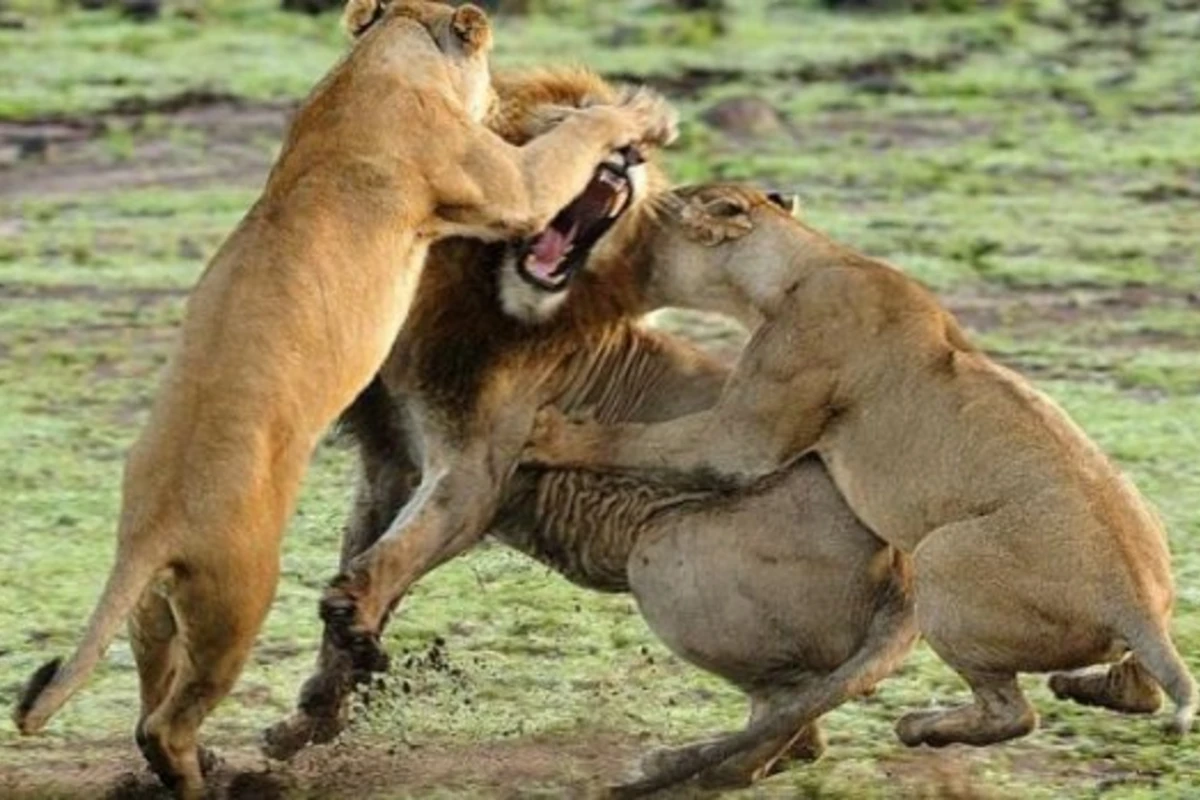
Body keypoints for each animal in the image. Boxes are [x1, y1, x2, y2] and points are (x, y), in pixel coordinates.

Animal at [11, 2, 675, 795]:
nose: (631, 162)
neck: (378, 60)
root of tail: (147, 532)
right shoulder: (510, 184)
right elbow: (570, 143)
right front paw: (638, 114)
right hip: (237, 601)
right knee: (162, 723)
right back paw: (206, 775)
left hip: (157, 611)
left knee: (151, 692)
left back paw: (202, 762)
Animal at [264, 71, 917, 794]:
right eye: (570, 117)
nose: (626, 154)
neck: (479, 294)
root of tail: (906, 567)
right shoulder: (389, 461)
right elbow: (362, 563)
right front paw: (307, 721)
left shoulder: (476, 474)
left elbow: (399, 551)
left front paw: (353, 611)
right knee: (801, 729)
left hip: (663, 554)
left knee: (787, 718)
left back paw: (684, 771)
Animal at [524, 183, 1198, 789]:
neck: (808, 262)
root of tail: (1134, 603)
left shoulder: (746, 436)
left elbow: (644, 442)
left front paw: (550, 434)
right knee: (1139, 689)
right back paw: (1091, 688)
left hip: (942, 557)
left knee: (1014, 713)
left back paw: (922, 727)